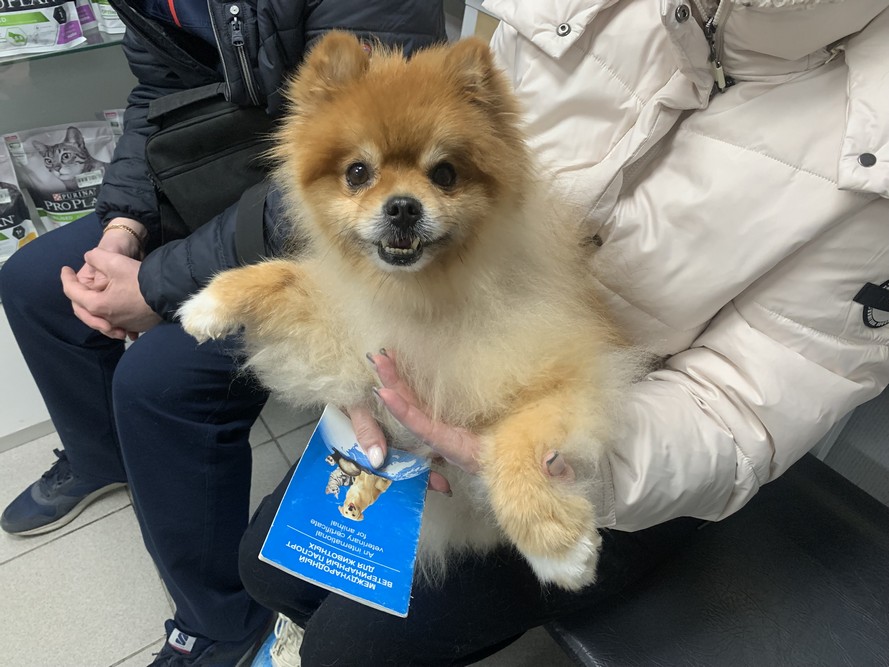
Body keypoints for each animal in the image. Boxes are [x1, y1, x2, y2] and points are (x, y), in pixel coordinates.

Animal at [179, 32, 631, 589]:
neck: (417, 298)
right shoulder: (341, 326)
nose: (401, 207)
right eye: (357, 172)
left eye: (445, 174)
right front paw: (211, 303)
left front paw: (555, 543)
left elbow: (514, 445)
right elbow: (285, 276)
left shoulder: (571, 378)